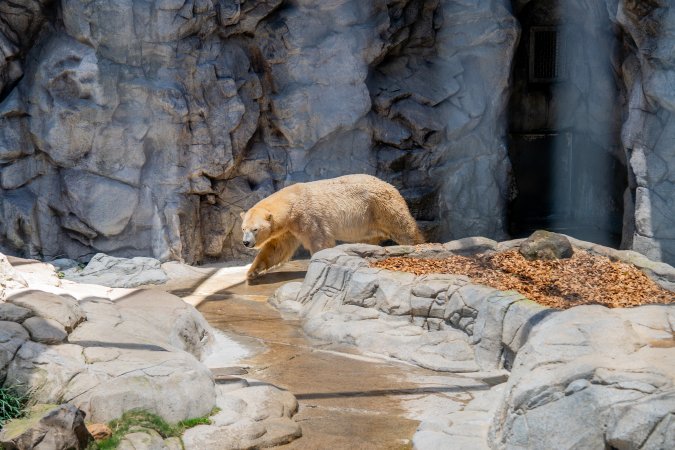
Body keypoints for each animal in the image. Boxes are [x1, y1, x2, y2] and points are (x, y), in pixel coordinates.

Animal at [240, 174, 424, 280]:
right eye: (243, 228)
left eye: (255, 229)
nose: (246, 243)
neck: (291, 201)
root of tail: (389, 185)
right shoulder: (289, 227)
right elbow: (277, 248)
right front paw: (252, 272)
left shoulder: (307, 216)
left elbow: (320, 241)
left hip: (380, 205)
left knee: (403, 227)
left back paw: (417, 243)